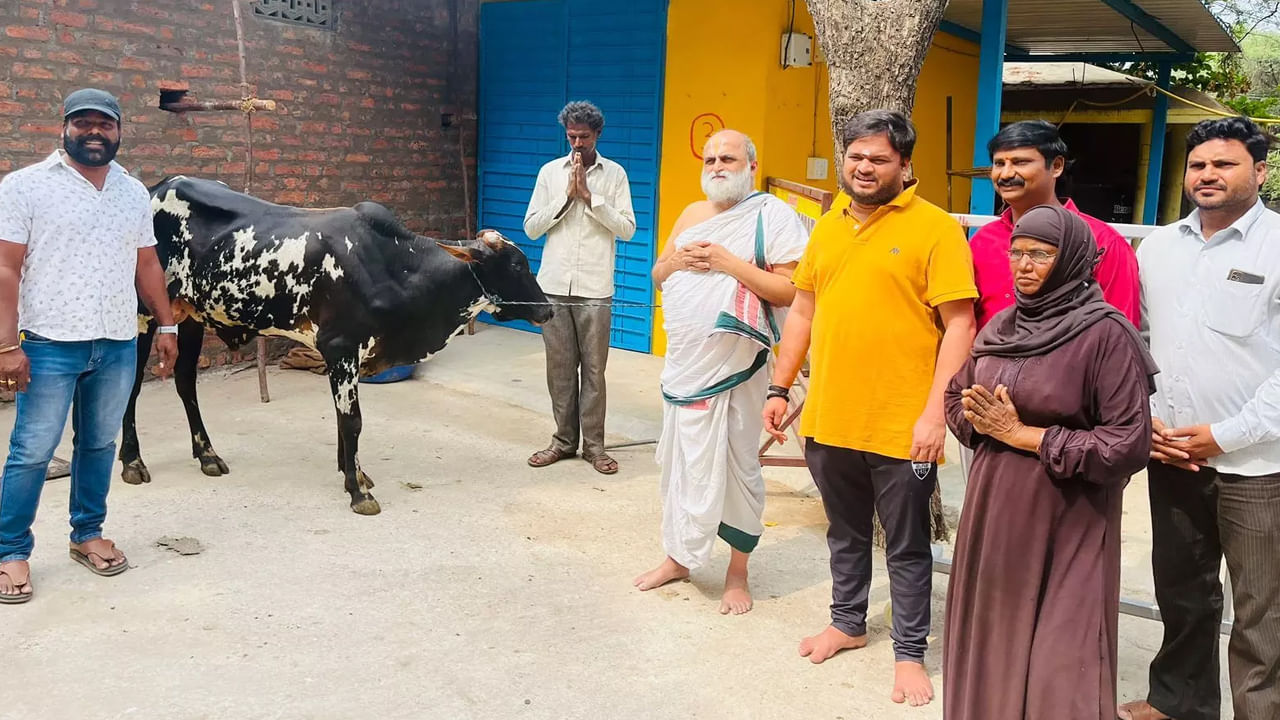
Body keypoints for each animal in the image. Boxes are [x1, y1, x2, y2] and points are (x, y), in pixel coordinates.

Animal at [120, 175, 555, 512]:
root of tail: (159, 186)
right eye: (517, 265)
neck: (395, 267)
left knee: (185, 382)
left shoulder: (348, 355)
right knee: (132, 388)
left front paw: (355, 474)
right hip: (141, 315)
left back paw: (208, 455)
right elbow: (352, 421)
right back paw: (132, 462)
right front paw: (358, 490)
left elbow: (344, 421)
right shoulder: (341, 348)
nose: (549, 309)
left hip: (191, 317)